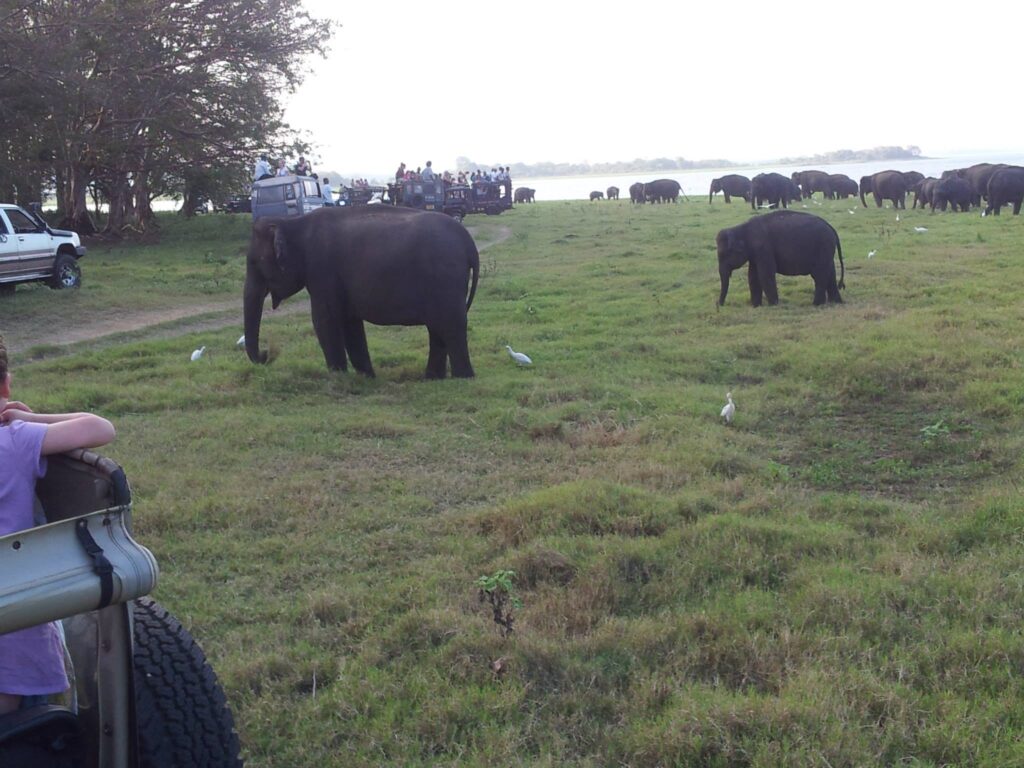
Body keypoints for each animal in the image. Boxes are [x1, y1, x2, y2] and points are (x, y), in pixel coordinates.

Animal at [244, 206, 479, 378]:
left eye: (255, 263)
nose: (266, 354)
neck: (293, 222)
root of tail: (468, 241)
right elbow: (350, 323)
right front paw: (366, 376)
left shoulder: (322, 269)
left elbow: (324, 321)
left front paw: (338, 377)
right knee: (437, 328)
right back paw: (432, 377)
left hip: (445, 276)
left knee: (450, 325)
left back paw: (462, 377)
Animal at [716, 210, 845, 307]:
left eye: (723, 255)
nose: (719, 305)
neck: (741, 228)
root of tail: (831, 228)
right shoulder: (755, 254)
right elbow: (753, 276)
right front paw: (756, 306)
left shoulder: (764, 248)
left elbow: (765, 274)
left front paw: (773, 305)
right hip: (827, 251)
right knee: (830, 273)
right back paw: (835, 302)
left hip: (822, 247)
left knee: (819, 275)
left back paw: (816, 304)